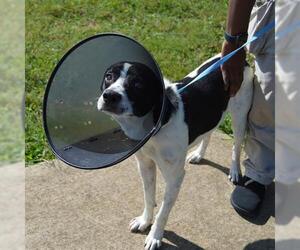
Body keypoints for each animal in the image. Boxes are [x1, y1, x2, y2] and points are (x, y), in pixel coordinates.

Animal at [96, 55, 253, 249]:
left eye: (138, 83)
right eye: (109, 76)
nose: (109, 95)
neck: (157, 124)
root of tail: (240, 57)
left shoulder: (175, 177)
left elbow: (163, 212)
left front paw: (155, 236)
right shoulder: (145, 165)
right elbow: (149, 197)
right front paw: (144, 221)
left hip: (240, 117)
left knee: (236, 146)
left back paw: (235, 170)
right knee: (208, 133)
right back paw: (199, 155)